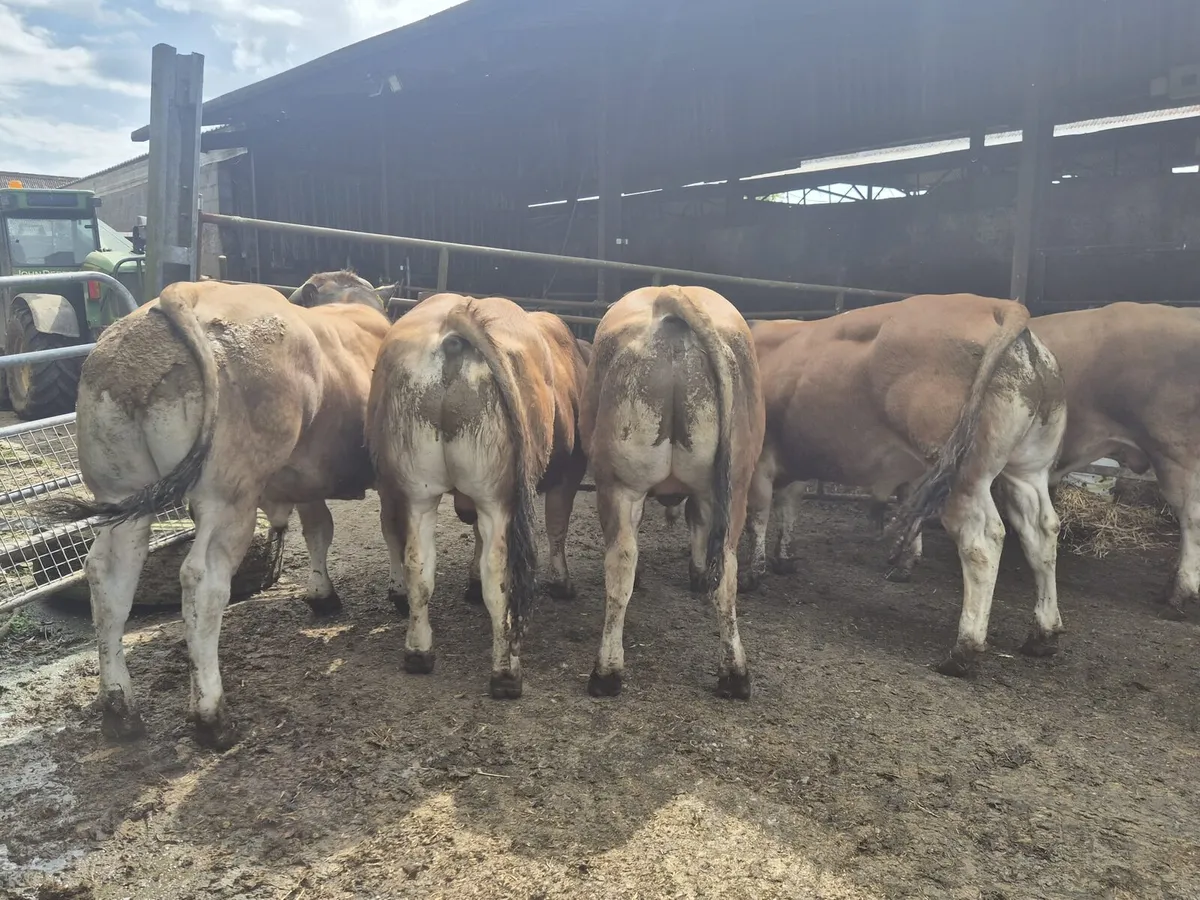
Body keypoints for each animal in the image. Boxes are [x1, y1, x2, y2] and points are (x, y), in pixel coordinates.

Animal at [46, 272, 392, 749]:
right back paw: (212, 717)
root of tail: (185, 292)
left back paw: (120, 710)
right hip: (228, 495)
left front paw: (322, 595)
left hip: (120, 492)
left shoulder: (304, 478)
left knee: (108, 579)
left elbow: (319, 531)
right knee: (203, 582)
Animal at [366, 293, 588, 699]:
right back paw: (506, 673)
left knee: (419, 565)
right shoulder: (569, 474)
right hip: (497, 495)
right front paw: (562, 583)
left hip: (418, 491)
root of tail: (454, 319)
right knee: (498, 574)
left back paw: (418, 652)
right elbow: (557, 527)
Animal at [580, 285, 765, 699]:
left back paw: (606, 671)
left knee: (621, 562)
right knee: (726, 570)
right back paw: (735, 674)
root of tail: (672, 294)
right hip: (732, 483)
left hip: (620, 484)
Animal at [743, 294, 1067, 677]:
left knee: (983, 541)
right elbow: (789, 506)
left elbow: (758, 514)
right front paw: (783, 558)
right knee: (1041, 531)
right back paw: (1043, 635)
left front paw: (753, 574)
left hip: (963, 475)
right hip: (1028, 469)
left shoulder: (759, 458)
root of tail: (997, 306)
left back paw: (963, 650)